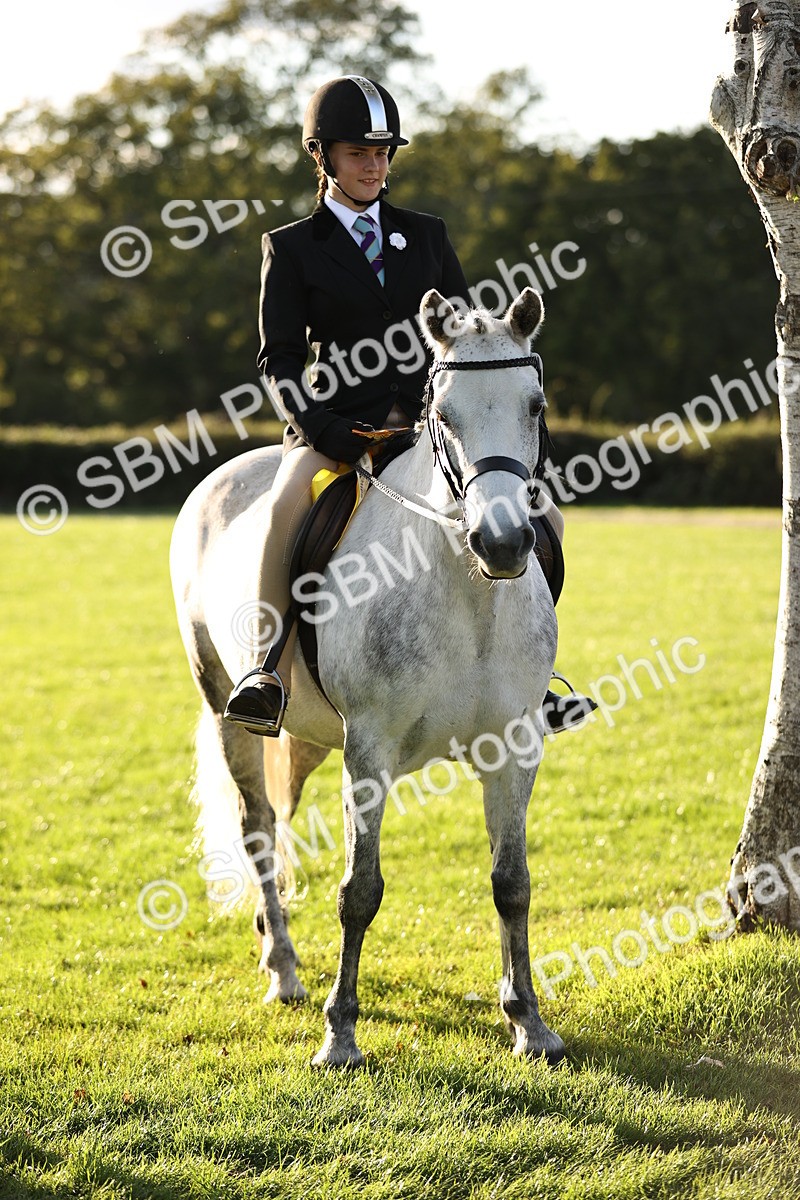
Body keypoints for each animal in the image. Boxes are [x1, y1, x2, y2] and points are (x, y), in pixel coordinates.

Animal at [169, 286, 566, 1067]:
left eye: (534, 405)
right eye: (444, 413)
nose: (504, 543)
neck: (467, 588)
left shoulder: (514, 747)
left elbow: (512, 883)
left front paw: (529, 1023)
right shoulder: (371, 751)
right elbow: (361, 890)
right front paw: (341, 1034)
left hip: (310, 736)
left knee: (282, 814)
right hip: (227, 706)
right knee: (258, 827)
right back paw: (284, 971)